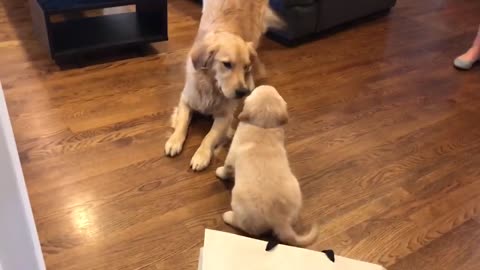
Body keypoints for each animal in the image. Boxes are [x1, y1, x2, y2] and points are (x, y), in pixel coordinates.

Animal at [165, 0, 282, 171]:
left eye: (245, 66)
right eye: (226, 64)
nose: (241, 92)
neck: (211, 87)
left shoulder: (225, 116)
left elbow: (209, 136)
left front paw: (201, 155)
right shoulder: (186, 99)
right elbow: (182, 122)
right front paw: (174, 141)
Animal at [217, 86, 316, 247]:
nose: (266, 85)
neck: (264, 127)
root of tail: (281, 221)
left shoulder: (231, 157)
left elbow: (226, 169)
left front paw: (219, 172)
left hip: (240, 205)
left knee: (245, 226)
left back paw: (228, 216)